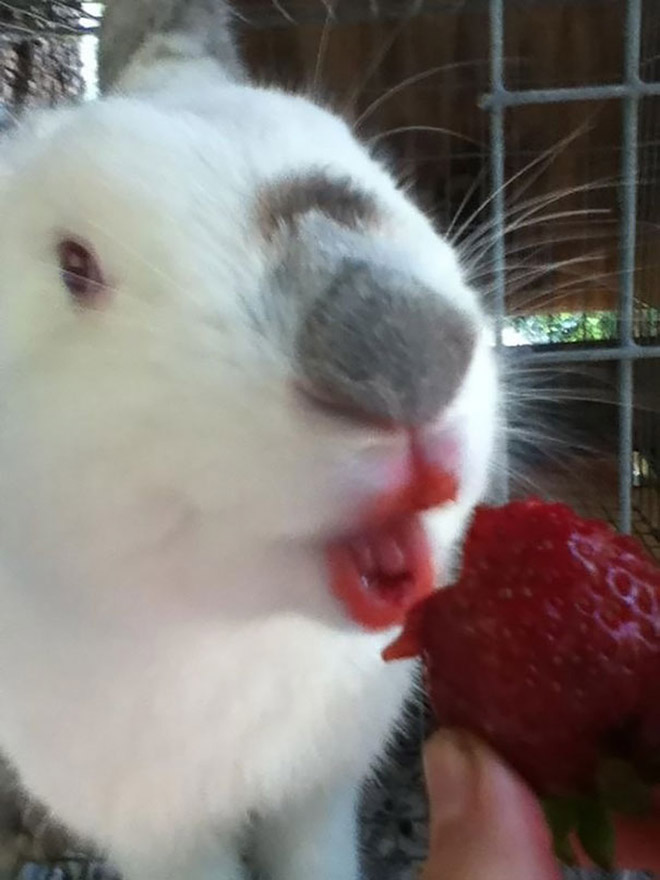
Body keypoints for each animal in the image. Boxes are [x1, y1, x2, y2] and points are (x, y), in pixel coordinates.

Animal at [0, 1, 498, 880]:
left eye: (371, 166)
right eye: (74, 265)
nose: (403, 354)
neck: (240, 638)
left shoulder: (320, 792)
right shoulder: (159, 832)